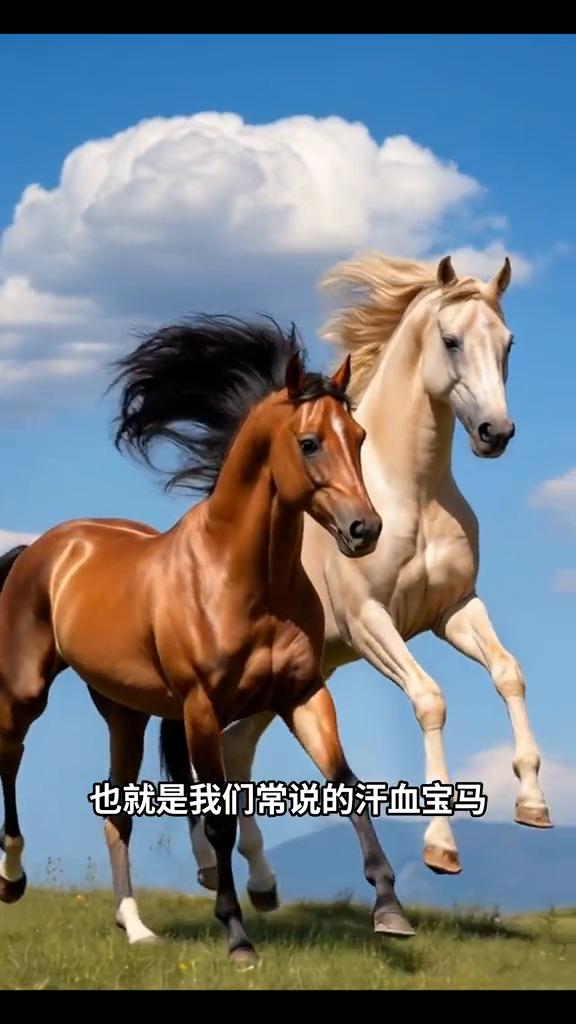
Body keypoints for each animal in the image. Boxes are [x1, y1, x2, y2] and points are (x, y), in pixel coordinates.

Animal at [0, 314, 415, 967]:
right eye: (309, 442)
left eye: (359, 436)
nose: (364, 530)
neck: (241, 578)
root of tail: (43, 547)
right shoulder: (201, 708)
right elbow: (219, 821)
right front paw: (238, 937)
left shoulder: (302, 695)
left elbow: (347, 786)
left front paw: (390, 911)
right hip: (24, 692)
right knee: (10, 758)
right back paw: (12, 878)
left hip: (125, 713)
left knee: (115, 811)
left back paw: (135, 927)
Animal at [178, 253, 551, 908]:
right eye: (451, 341)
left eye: (508, 342)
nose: (496, 433)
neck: (411, 493)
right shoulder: (371, 623)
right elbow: (429, 697)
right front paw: (441, 848)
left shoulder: (454, 611)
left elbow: (509, 673)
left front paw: (533, 804)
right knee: (197, 751)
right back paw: (209, 867)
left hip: (295, 679)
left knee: (235, 749)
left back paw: (262, 881)